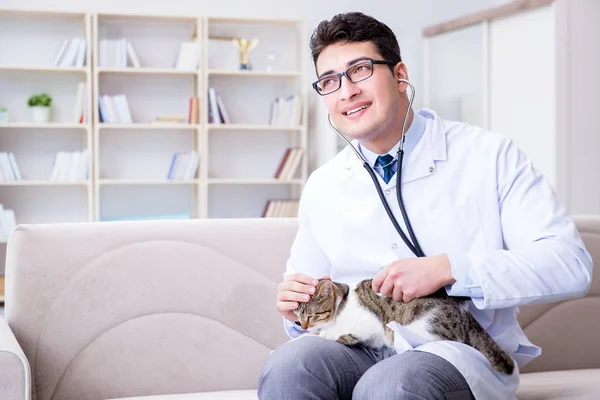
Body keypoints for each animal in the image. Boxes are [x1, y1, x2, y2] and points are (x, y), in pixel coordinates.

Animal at [292, 278, 512, 376]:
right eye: (298, 316)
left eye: (311, 315)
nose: (302, 325)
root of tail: (464, 313)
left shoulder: (372, 323)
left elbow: (339, 334)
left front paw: (330, 335)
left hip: (421, 328)